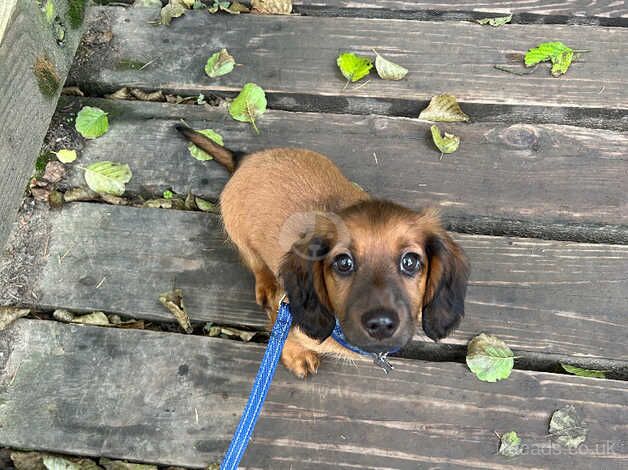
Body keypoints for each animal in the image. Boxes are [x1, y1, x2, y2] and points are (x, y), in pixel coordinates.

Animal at [174, 126, 468, 380]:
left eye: (410, 261)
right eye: (343, 262)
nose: (381, 324)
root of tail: (246, 159)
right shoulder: (284, 309)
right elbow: (280, 332)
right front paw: (296, 355)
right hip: (239, 233)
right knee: (256, 264)